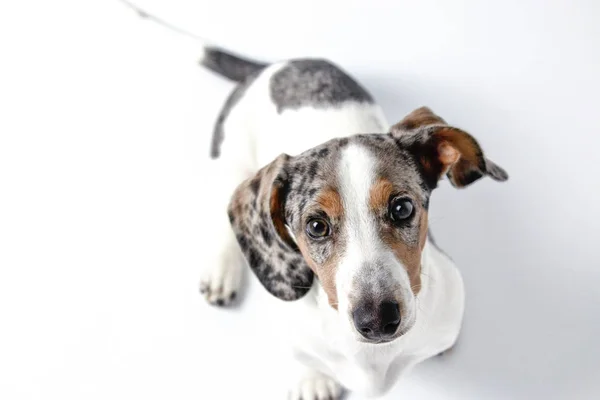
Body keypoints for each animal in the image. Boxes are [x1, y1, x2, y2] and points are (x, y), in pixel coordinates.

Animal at [197, 45, 506, 398]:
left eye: (402, 208)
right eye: (316, 226)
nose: (378, 320)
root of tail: (274, 66)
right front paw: (313, 379)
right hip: (230, 162)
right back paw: (222, 273)